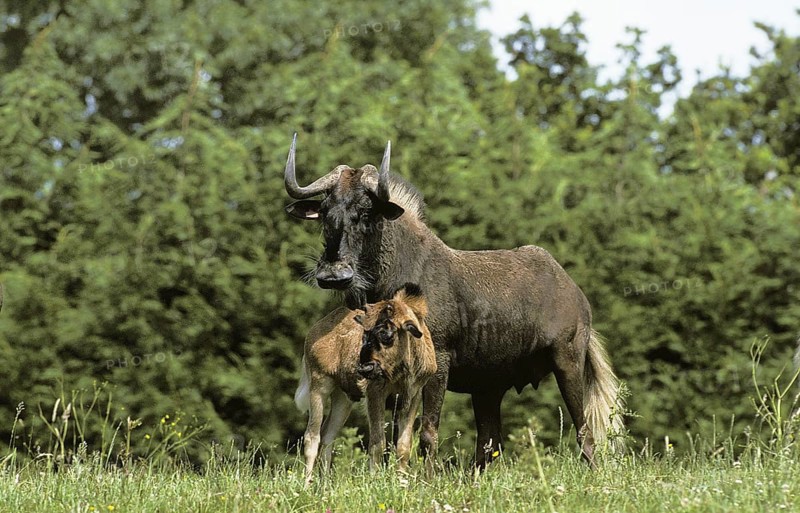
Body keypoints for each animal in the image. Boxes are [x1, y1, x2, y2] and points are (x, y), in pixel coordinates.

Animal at [283, 134, 625, 467]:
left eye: (367, 210)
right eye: (324, 211)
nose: (333, 274)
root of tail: (578, 297)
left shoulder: (439, 364)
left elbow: (427, 433)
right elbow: (394, 436)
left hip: (567, 360)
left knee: (585, 431)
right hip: (489, 388)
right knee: (488, 446)